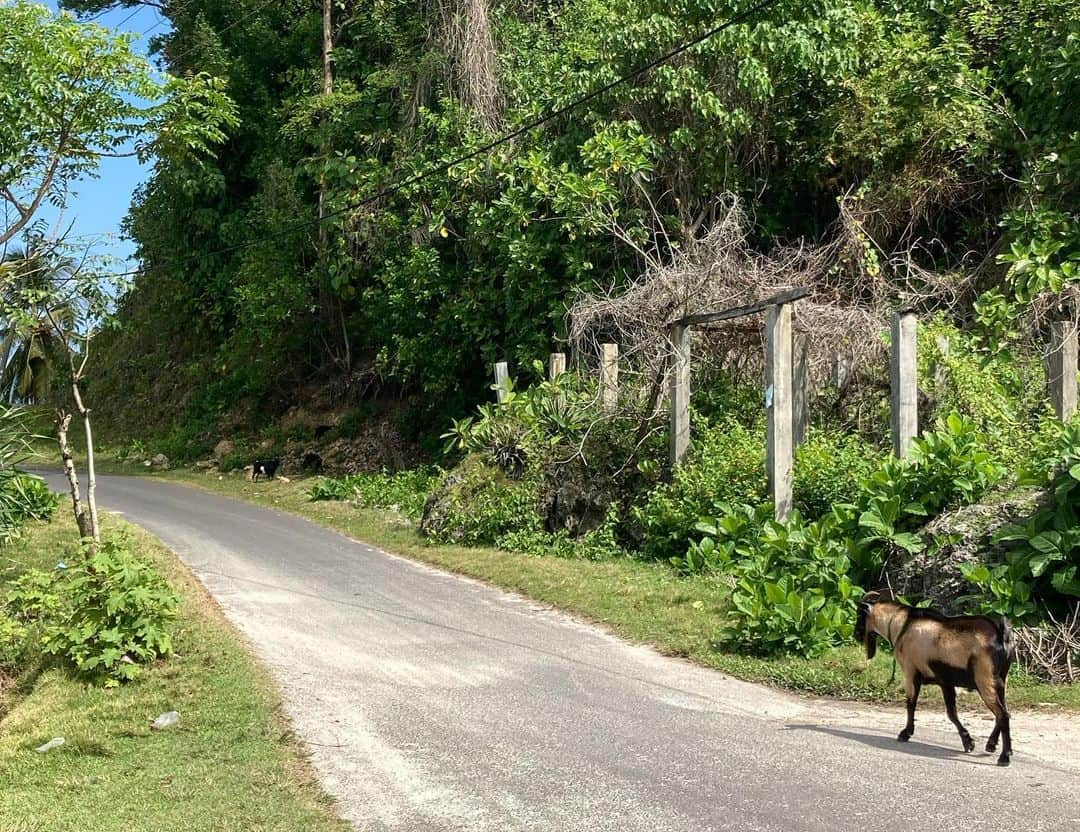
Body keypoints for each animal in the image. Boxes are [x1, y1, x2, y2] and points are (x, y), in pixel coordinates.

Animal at [855, 587, 1015, 765]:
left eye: (860, 615)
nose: (855, 634)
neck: (903, 624)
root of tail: (1000, 634)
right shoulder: (946, 682)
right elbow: (952, 713)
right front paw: (968, 742)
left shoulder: (911, 672)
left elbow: (911, 704)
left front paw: (905, 733)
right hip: (1000, 680)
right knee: (1002, 712)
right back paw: (992, 745)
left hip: (984, 680)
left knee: (1003, 714)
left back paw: (1004, 757)